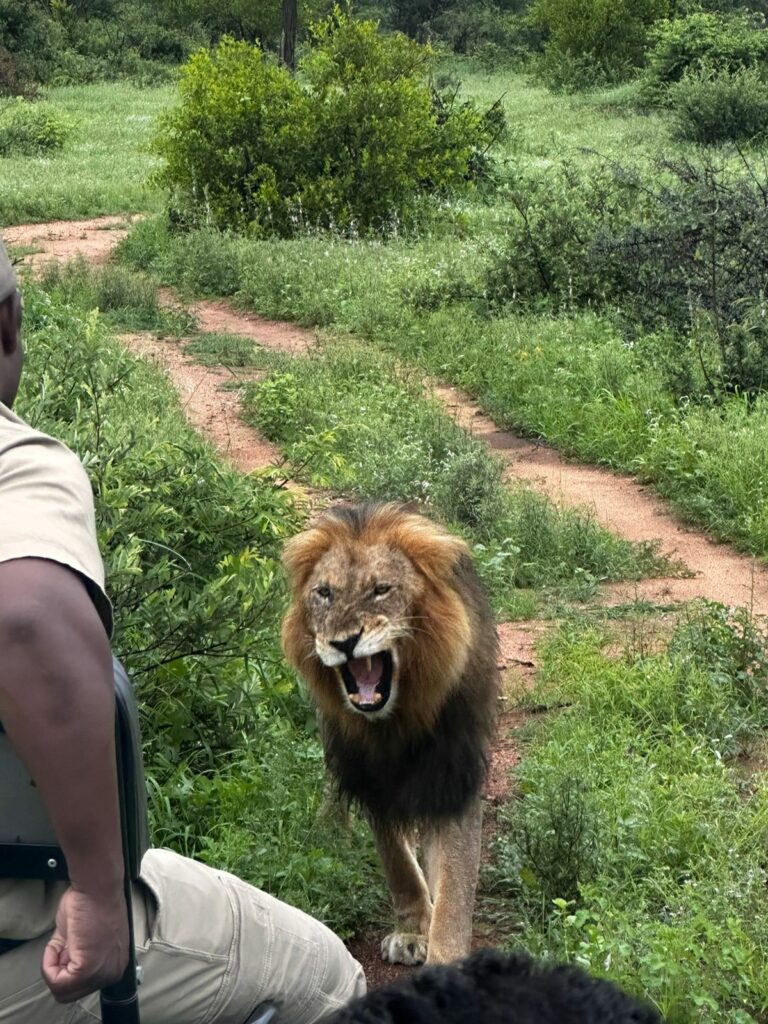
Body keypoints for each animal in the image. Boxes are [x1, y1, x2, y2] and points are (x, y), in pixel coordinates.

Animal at [281, 502, 499, 966]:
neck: (396, 721)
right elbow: (397, 863)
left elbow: (454, 885)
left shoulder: (454, 778)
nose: (344, 643)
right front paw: (413, 931)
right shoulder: (371, 780)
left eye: (381, 589)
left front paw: (443, 953)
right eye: (324, 593)